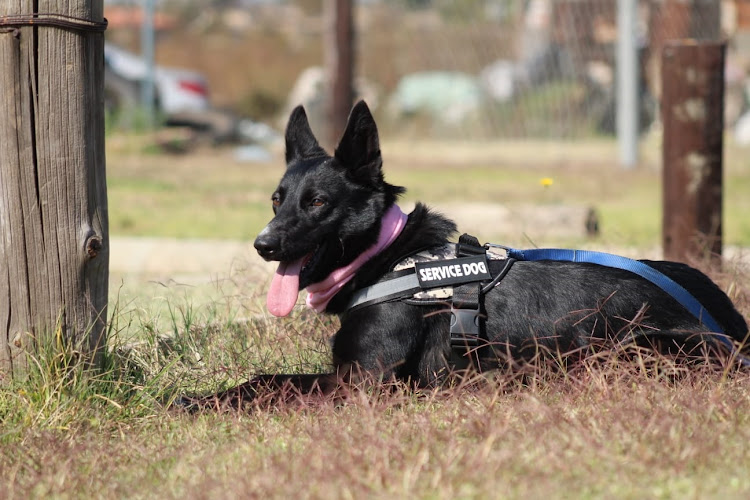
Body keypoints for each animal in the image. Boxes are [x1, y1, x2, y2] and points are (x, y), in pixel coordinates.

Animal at [192, 99, 748, 408]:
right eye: (277, 200)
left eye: (318, 203)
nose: (263, 245)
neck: (384, 259)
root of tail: (732, 325)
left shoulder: (364, 385)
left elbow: (267, 383)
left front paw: (199, 401)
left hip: (624, 350)